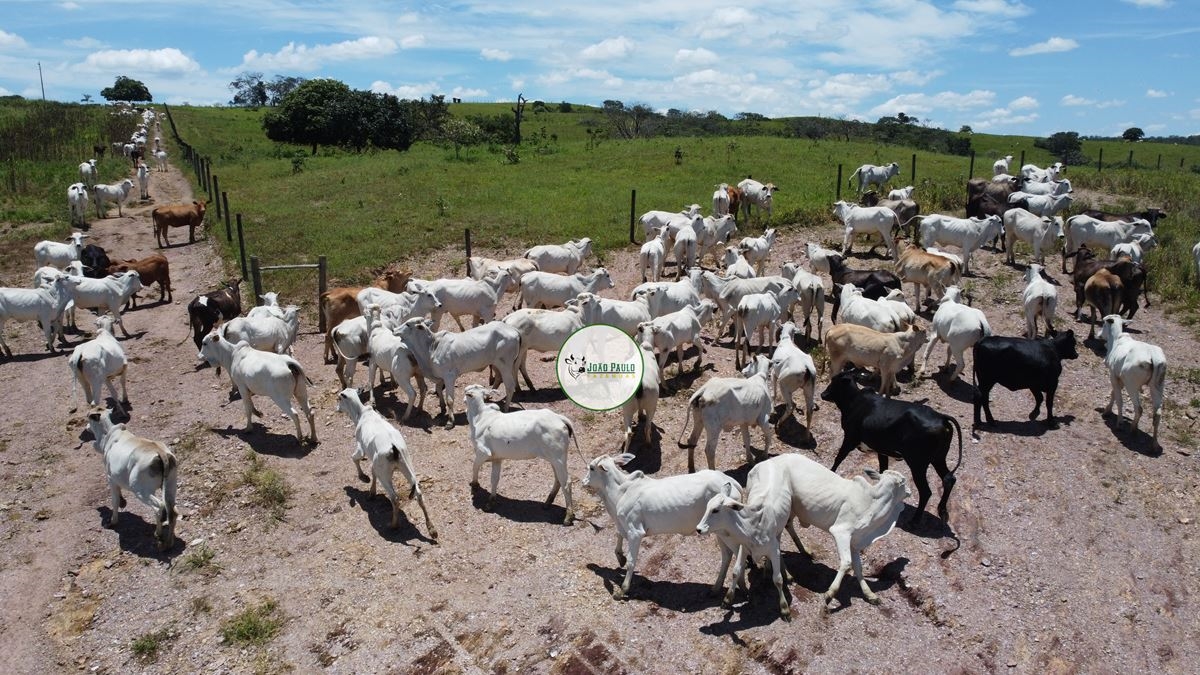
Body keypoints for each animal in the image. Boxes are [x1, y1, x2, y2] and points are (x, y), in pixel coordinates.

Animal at [825, 367, 964, 521]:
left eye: (834, 381)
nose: (822, 394)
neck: (854, 401)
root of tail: (941, 417)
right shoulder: (880, 449)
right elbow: (882, 470)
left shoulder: (850, 438)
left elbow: (839, 458)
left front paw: (830, 472)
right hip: (938, 458)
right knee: (948, 479)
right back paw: (942, 511)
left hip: (917, 463)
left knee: (926, 491)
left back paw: (915, 520)